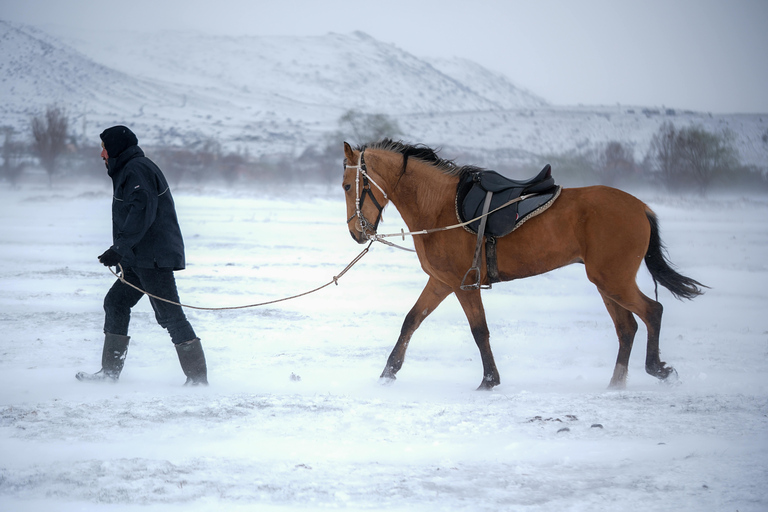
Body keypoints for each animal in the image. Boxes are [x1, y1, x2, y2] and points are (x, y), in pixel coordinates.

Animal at [341, 139, 706, 390]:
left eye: (347, 185)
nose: (356, 233)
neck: (438, 207)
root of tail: (642, 207)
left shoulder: (462, 284)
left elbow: (479, 331)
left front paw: (489, 380)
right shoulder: (442, 282)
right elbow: (411, 321)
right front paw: (388, 372)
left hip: (613, 279)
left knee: (652, 312)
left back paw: (656, 368)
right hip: (606, 282)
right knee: (627, 327)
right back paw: (616, 384)